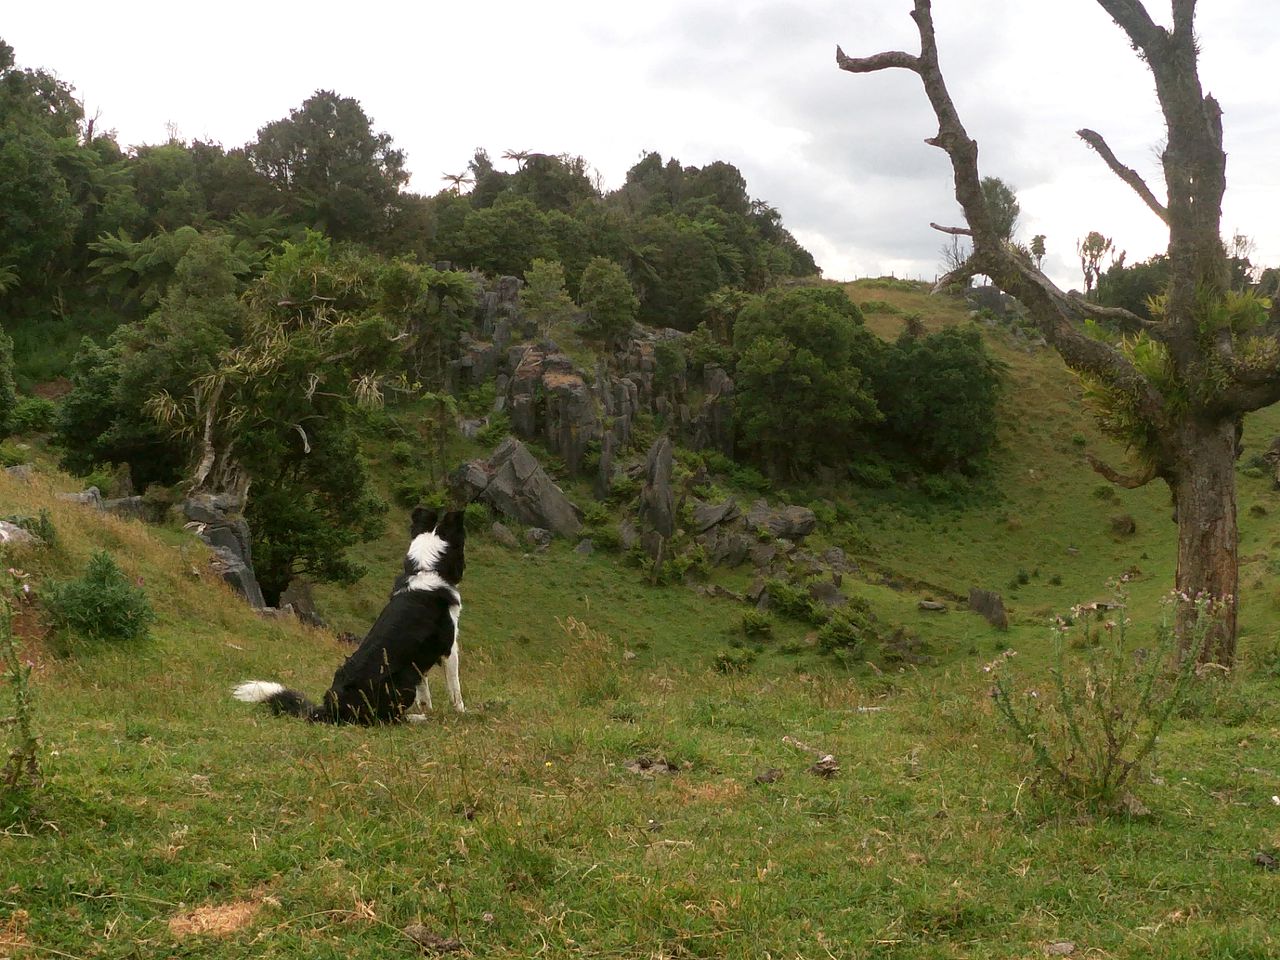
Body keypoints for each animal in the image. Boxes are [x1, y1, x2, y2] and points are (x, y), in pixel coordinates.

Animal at [234, 512, 465, 721]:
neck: (426, 569)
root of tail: (332, 708)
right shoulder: (449, 648)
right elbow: (455, 688)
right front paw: (461, 712)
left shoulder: (423, 655)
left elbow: (424, 690)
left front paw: (428, 708)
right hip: (404, 678)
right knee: (385, 719)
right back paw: (415, 718)